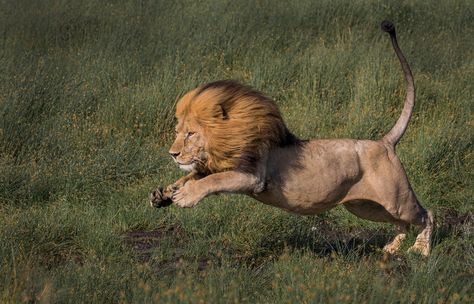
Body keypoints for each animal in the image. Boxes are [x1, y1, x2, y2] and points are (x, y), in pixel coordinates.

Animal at [151, 21, 434, 258]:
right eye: (177, 132)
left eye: (191, 133)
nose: (172, 154)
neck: (227, 142)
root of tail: (385, 142)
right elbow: (195, 175)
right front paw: (164, 194)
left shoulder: (252, 178)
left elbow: (212, 180)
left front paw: (186, 196)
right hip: (363, 206)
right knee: (401, 223)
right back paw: (392, 248)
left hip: (396, 199)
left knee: (425, 215)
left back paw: (420, 250)